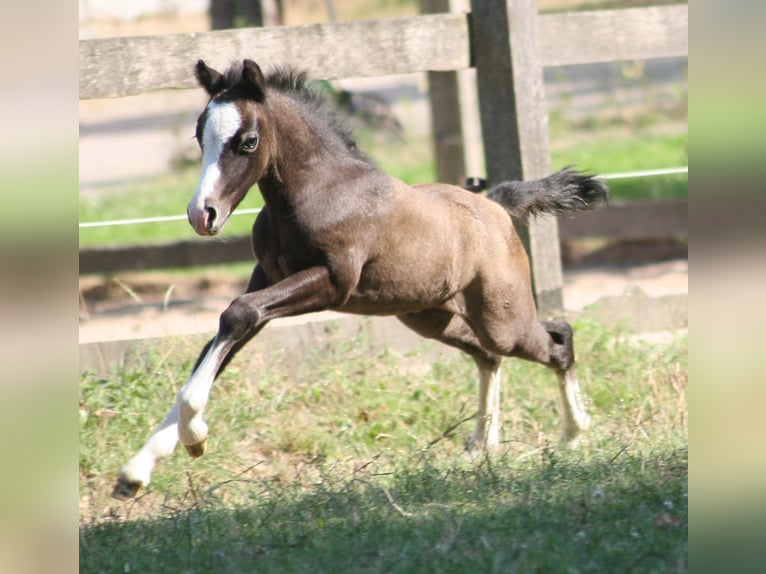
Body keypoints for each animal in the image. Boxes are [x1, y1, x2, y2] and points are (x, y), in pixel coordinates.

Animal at [112, 59, 608, 500]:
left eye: (247, 141)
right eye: (200, 135)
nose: (203, 214)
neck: (321, 192)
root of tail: (497, 204)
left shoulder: (331, 283)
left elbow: (236, 315)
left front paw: (195, 437)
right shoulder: (266, 280)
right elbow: (221, 341)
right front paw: (136, 471)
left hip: (501, 317)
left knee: (556, 339)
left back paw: (574, 431)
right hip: (432, 317)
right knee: (488, 357)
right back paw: (480, 446)